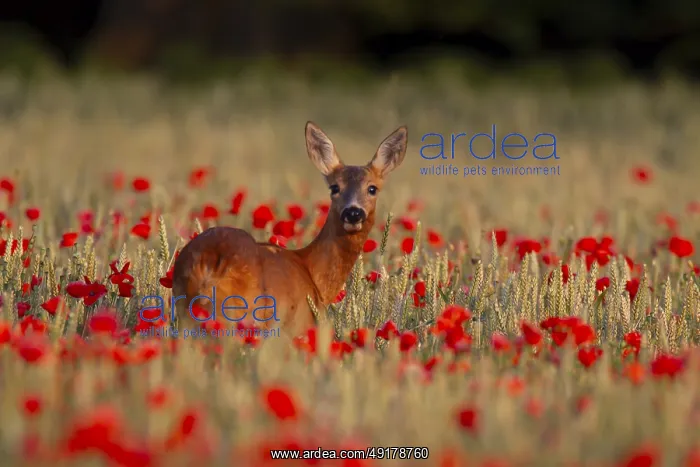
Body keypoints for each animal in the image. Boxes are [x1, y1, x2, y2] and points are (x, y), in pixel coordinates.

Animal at [171, 121, 408, 338]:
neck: (312, 272)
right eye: (334, 187)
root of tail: (209, 262)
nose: (353, 213)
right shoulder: (298, 325)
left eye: (372, 188)